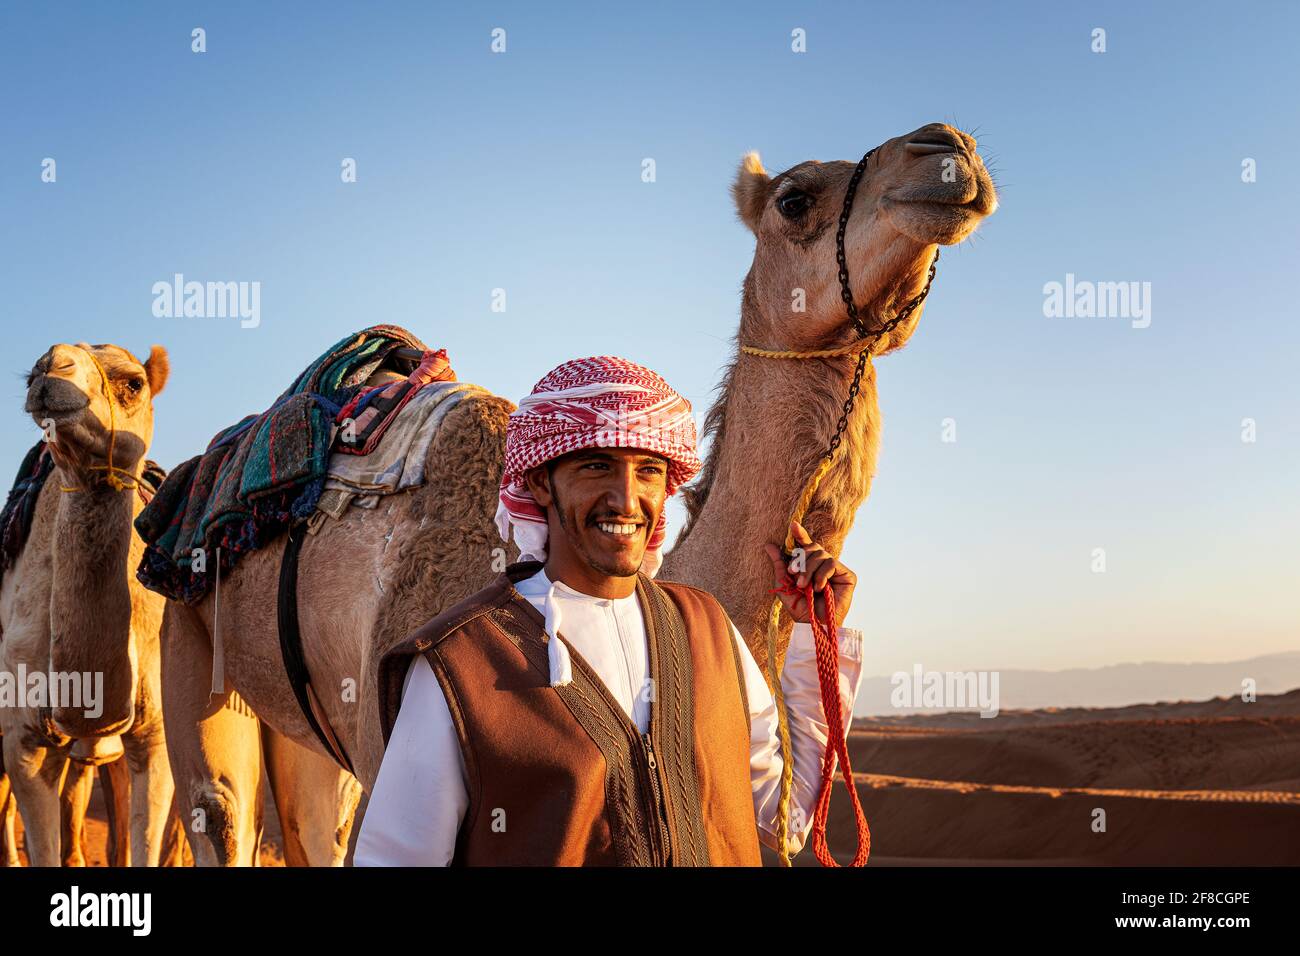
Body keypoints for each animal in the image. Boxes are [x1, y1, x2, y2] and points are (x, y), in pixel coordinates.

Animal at [162, 121, 993, 868]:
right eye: (794, 199)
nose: (949, 149)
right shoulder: (389, 734)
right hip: (190, 633)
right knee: (219, 811)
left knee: (309, 828)